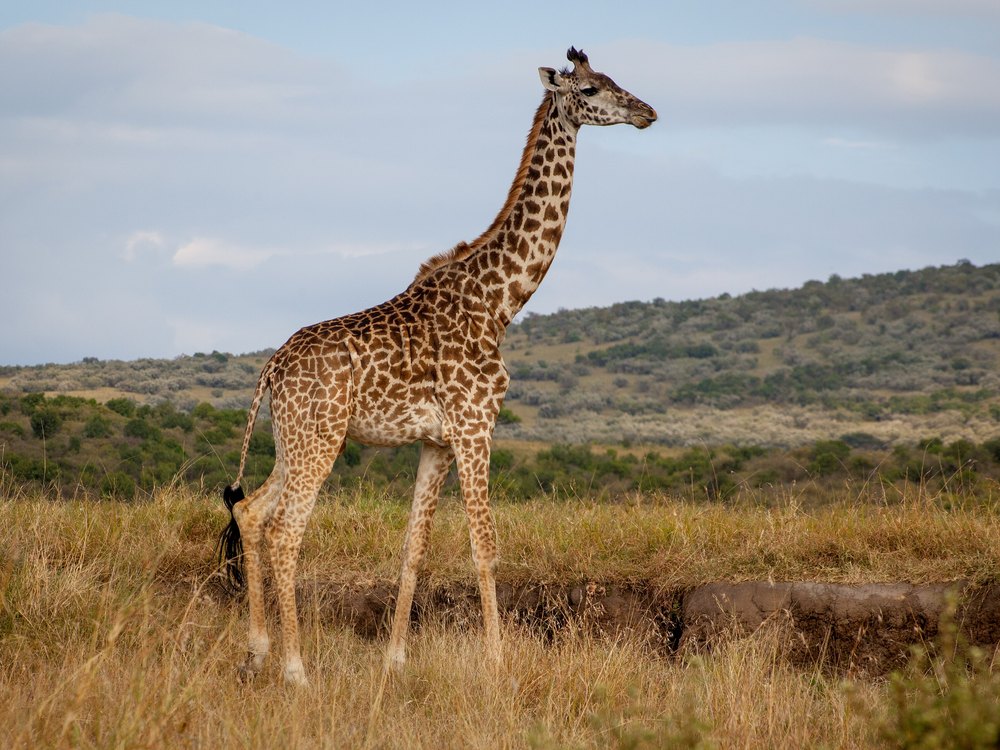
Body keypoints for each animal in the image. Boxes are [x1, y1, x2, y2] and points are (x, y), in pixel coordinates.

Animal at [218, 47, 656, 685]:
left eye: (616, 79)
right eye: (593, 88)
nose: (647, 111)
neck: (501, 302)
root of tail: (271, 369)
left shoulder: (437, 441)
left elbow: (414, 548)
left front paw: (395, 660)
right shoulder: (476, 427)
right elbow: (485, 547)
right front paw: (498, 663)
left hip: (292, 438)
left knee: (251, 513)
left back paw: (256, 652)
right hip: (320, 438)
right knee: (284, 531)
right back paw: (296, 670)